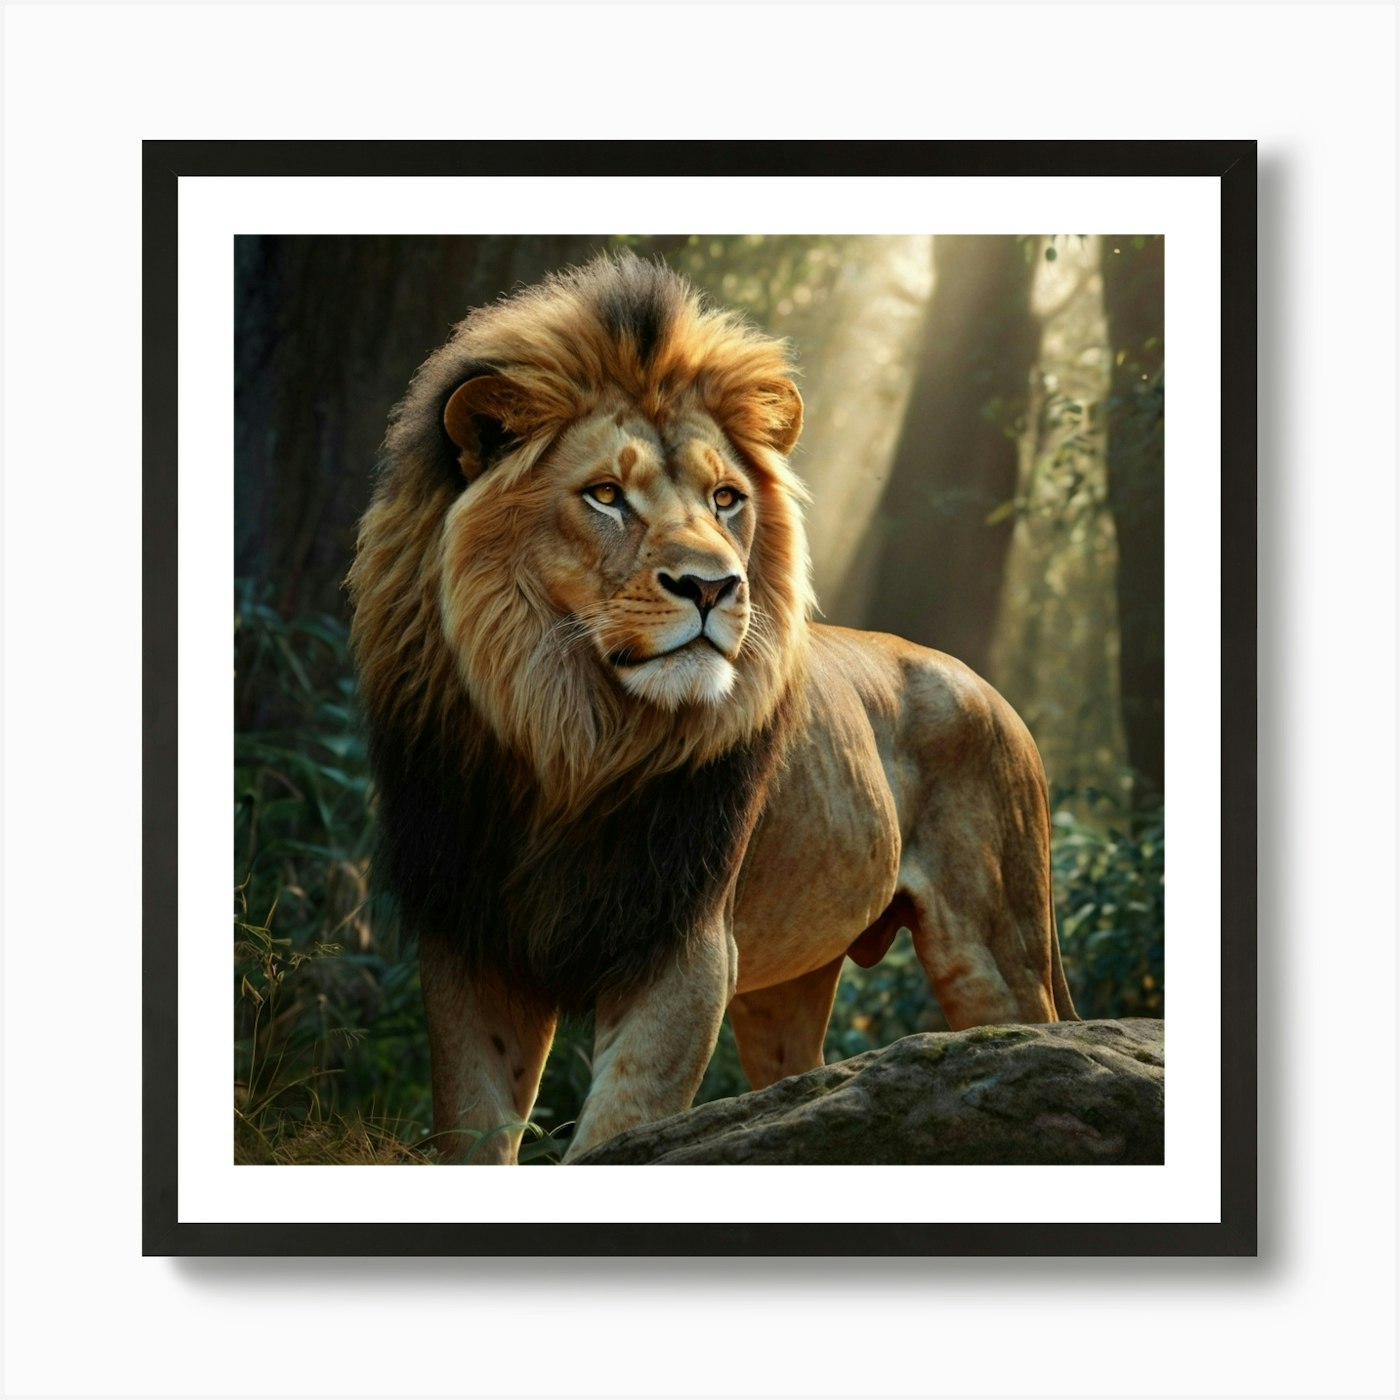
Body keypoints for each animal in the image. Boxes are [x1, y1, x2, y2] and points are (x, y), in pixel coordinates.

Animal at [347, 251, 1077, 1164]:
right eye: (606, 495)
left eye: (726, 498)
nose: (713, 585)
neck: (571, 738)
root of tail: (993, 692)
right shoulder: (470, 941)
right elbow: (475, 1130)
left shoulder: (686, 948)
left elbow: (621, 1129)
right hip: (790, 982)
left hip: (996, 948)